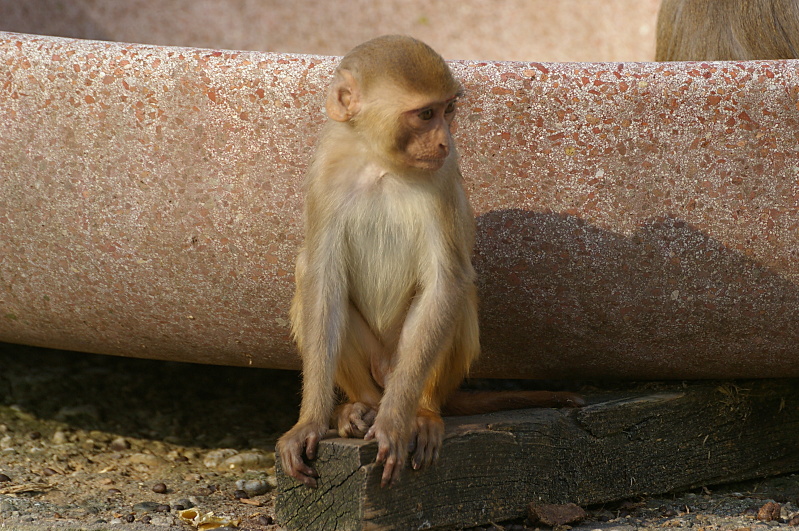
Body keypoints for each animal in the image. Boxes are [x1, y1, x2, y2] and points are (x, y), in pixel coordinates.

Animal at [276, 34, 580, 490]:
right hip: (375, 363)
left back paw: (419, 412)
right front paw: (309, 421)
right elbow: (322, 278)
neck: (380, 163)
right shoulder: (326, 172)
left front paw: (394, 423)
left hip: (415, 366)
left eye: (447, 110)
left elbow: (445, 282)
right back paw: (359, 407)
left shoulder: (444, 176)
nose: (444, 142)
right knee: (307, 276)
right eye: (424, 114)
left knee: (458, 294)